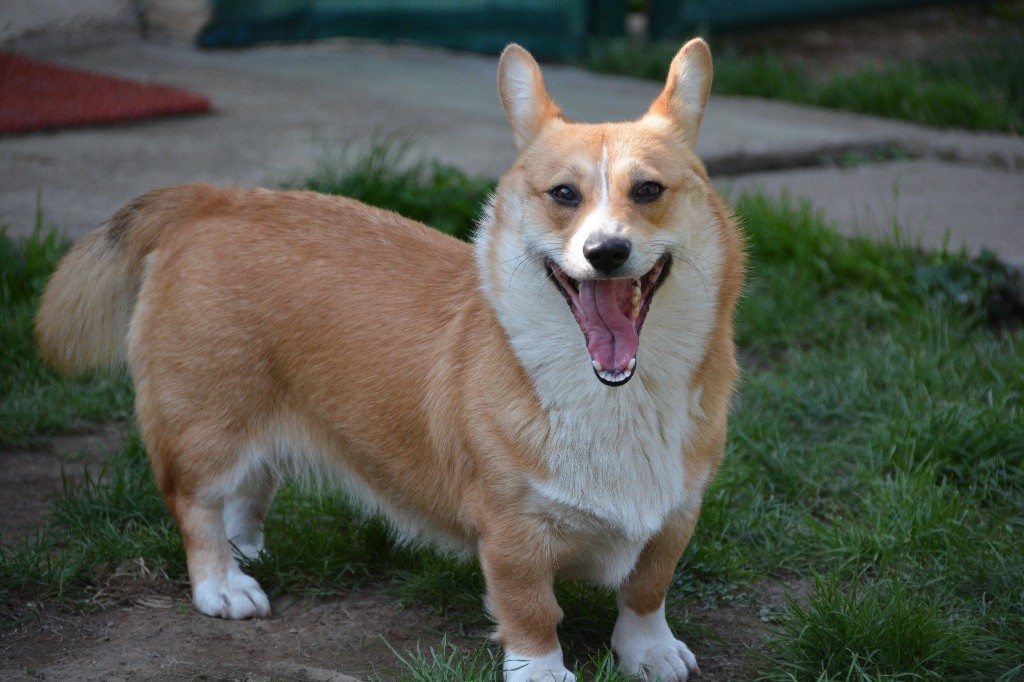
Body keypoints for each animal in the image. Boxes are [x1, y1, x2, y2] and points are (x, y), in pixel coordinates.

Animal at [37, 38, 745, 679]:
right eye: (564, 194)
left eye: (648, 189)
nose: (605, 252)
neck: (616, 395)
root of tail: (214, 199)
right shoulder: (512, 531)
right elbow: (532, 612)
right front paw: (543, 672)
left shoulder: (677, 513)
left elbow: (646, 590)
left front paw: (649, 652)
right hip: (207, 423)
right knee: (197, 505)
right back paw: (224, 584)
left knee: (250, 487)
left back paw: (248, 553)